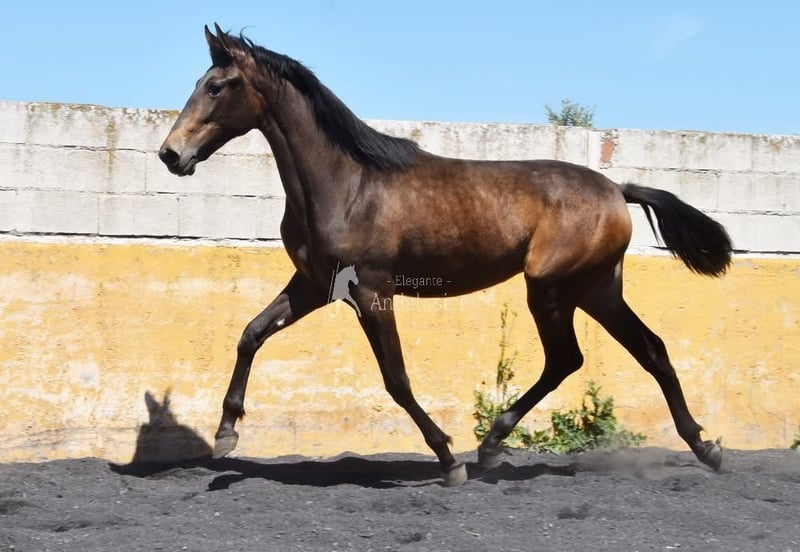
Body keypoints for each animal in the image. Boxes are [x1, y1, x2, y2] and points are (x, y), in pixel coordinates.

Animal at [159, 24, 732, 486]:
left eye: (215, 87)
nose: (171, 154)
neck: (347, 184)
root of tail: (618, 189)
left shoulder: (373, 291)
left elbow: (396, 377)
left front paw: (447, 460)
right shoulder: (315, 285)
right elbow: (252, 333)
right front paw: (225, 435)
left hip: (551, 287)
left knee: (571, 357)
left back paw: (489, 448)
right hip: (594, 289)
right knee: (646, 350)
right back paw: (705, 447)